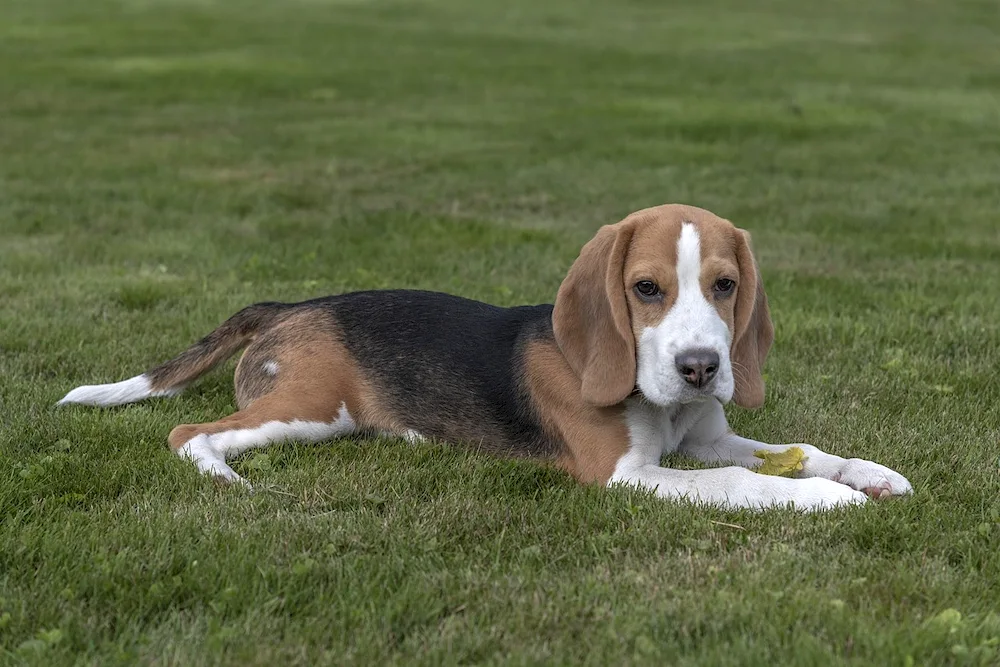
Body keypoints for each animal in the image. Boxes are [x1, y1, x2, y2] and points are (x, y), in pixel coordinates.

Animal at [56, 204, 916, 512]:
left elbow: (799, 448)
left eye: (726, 284)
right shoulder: (622, 473)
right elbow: (744, 481)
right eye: (646, 288)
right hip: (310, 408)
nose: (703, 366)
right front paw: (824, 499)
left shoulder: (709, 438)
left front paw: (868, 474)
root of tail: (294, 303)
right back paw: (227, 479)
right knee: (188, 433)